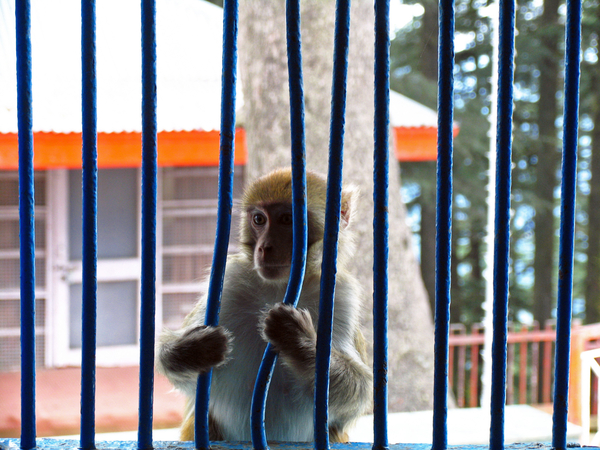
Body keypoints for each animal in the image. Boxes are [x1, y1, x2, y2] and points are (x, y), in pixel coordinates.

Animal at [156, 168, 370, 442]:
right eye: (259, 219)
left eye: (287, 219)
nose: (265, 248)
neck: (278, 287)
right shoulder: (231, 280)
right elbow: (167, 357)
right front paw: (194, 349)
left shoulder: (341, 297)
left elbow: (360, 391)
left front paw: (297, 340)